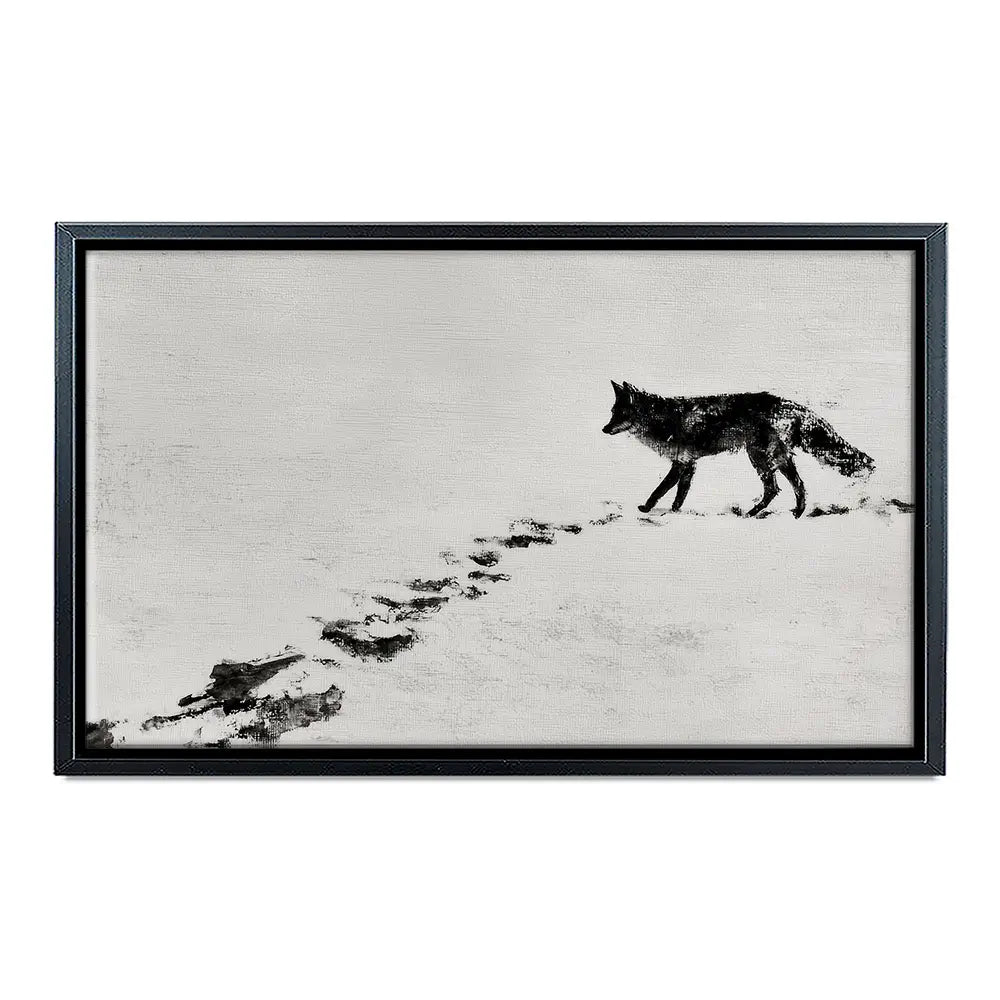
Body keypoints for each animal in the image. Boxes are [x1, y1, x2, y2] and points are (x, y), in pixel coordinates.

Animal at [602, 382, 875, 518]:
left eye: (619, 414)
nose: (604, 429)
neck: (666, 419)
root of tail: (793, 405)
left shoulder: (681, 463)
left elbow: (660, 490)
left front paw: (647, 508)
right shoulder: (688, 464)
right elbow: (679, 494)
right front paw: (674, 512)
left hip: (760, 457)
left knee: (775, 488)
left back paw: (753, 513)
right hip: (776, 458)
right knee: (797, 485)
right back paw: (795, 513)